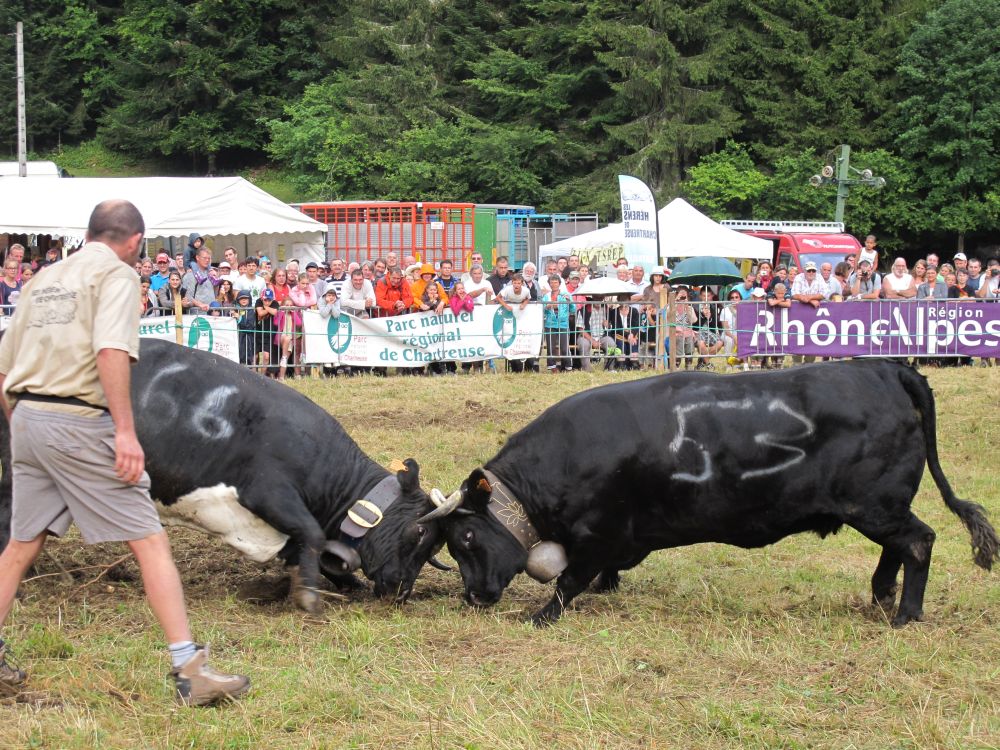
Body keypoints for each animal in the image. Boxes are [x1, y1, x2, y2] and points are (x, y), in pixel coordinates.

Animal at [0, 340, 446, 612]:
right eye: (419, 532)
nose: (402, 591)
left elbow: (316, 553)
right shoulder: (268, 491)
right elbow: (314, 536)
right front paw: (308, 598)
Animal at [426, 362, 996, 624]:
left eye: (468, 537)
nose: (474, 596)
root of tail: (882, 367)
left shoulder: (597, 533)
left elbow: (569, 580)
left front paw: (542, 614)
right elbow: (600, 573)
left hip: (874, 505)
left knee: (917, 541)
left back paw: (904, 614)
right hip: (881, 507)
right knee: (897, 547)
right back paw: (881, 594)